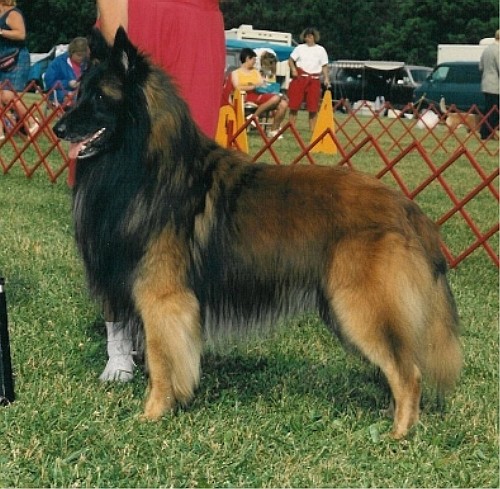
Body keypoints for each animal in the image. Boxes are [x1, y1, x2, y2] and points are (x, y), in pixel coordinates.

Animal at [52, 28, 462, 436]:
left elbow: (161, 361)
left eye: (100, 97)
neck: (146, 164)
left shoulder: (163, 300)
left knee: (409, 373)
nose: (58, 128)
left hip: (360, 308)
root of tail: (408, 210)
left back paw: (399, 434)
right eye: (79, 93)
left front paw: (153, 413)